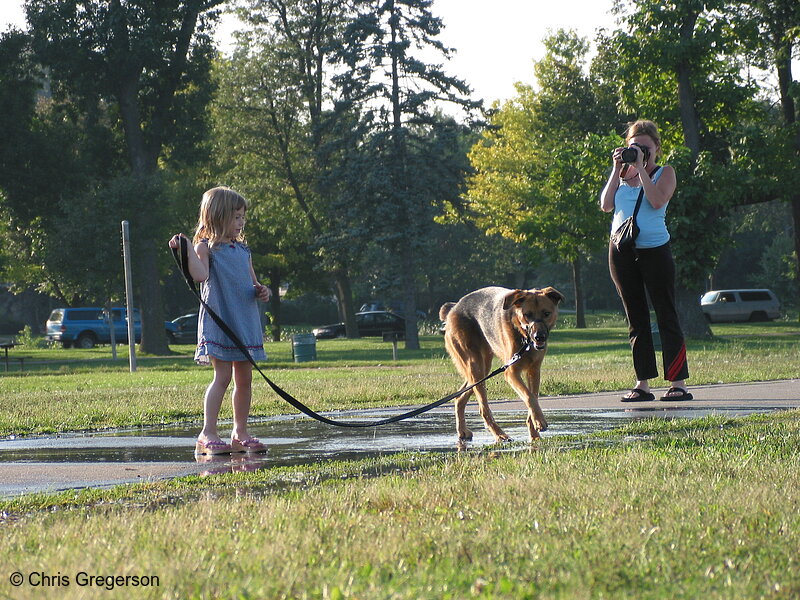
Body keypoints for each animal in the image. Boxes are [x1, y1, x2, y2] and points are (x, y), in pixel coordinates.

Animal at [440, 286, 564, 440]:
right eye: (527, 314)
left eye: (546, 313)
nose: (539, 337)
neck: (524, 339)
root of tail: (454, 307)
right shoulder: (511, 373)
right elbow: (529, 397)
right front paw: (539, 422)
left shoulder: (534, 372)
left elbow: (533, 398)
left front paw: (535, 434)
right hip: (476, 367)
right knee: (483, 408)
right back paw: (499, 434)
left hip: (482, 369)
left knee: (459, 397)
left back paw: (462, 431)